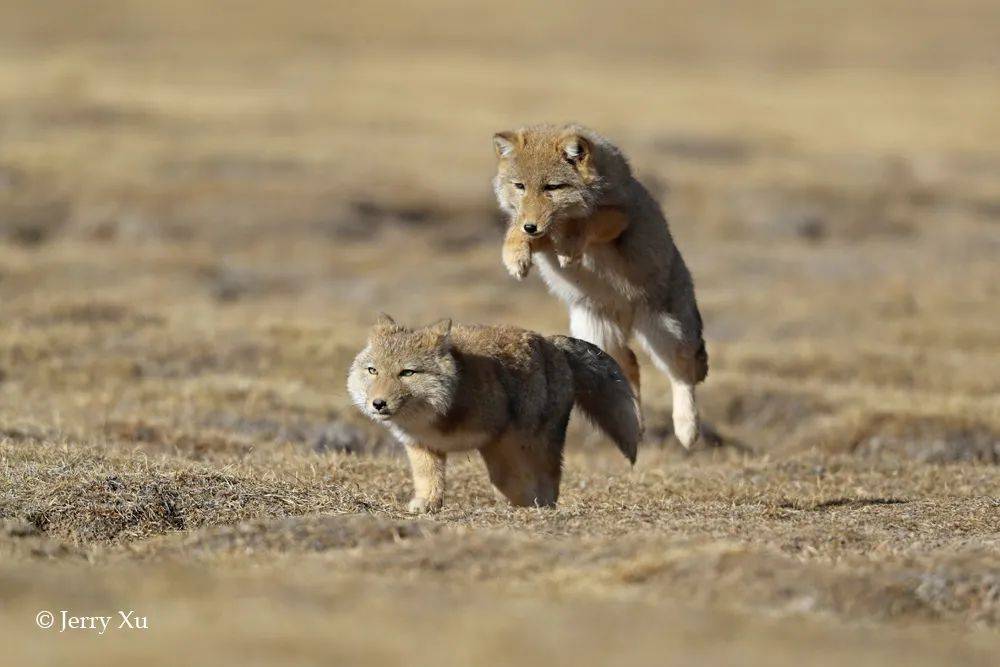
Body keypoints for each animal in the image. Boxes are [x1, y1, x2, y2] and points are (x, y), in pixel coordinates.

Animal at [346, 316, 640, 516]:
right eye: (373, 371)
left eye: (407, 373)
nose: (378, 404)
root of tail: (552, 342)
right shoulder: (422, 446)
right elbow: (429, 480)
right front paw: (427, 504)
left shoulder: (497, 440)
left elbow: (506, 481)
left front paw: (518, 505)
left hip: (538, 443)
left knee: (551, 476)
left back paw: (543, 505)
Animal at [496, 124, 708, 448]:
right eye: (519, 186)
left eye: (552, 188)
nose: (532, 226)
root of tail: (628, 316)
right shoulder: (533, 229)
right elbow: (516, 230)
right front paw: (516, 255)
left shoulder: (619, 216)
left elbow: (586, 223)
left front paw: (568, 245)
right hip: (597, 336)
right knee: (630, 365)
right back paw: (633, 424)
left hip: (667, 333)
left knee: (683, 373)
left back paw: (687, 429)